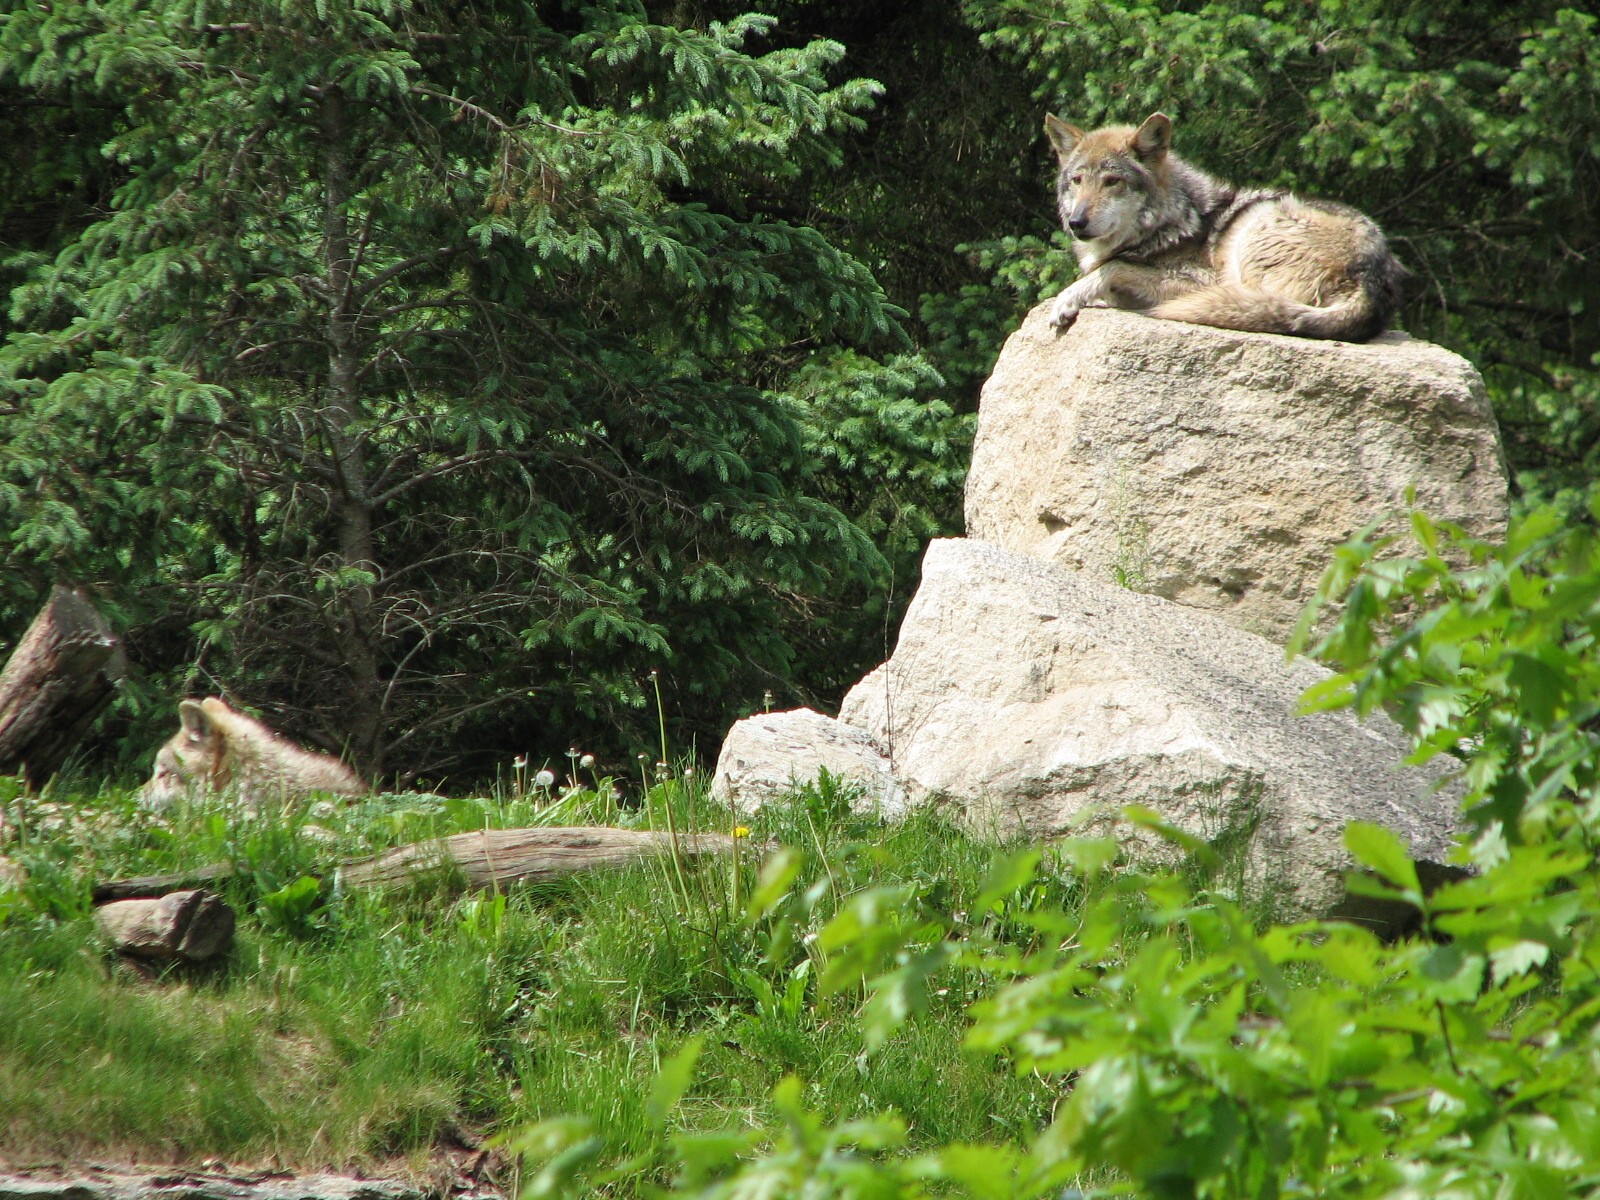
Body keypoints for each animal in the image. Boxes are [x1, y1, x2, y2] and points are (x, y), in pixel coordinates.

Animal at [1044, 111, 1407, 341]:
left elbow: (1113, 267)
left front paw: (1068, 298)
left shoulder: (1198, 281)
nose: (1076, 222)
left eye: (1111, 181)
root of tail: (1375, 280)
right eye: (1077, 181)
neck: (1167, 222)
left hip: (1259, 224)